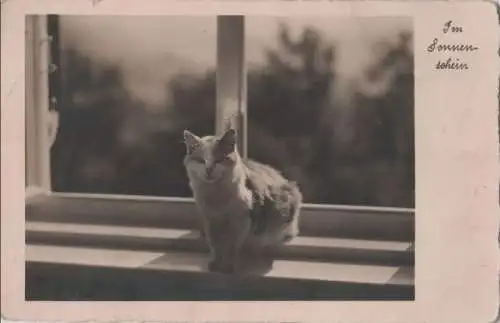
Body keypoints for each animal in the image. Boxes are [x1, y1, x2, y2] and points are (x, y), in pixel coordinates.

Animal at [183, 128, 300, 274]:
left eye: (219, 160)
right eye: (201, 160)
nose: (209, 169)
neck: (216, 195)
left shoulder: (241, 218)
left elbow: (231, 245)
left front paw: (227, 265)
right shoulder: (211, 219)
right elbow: (215, 245)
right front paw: (216, 263)